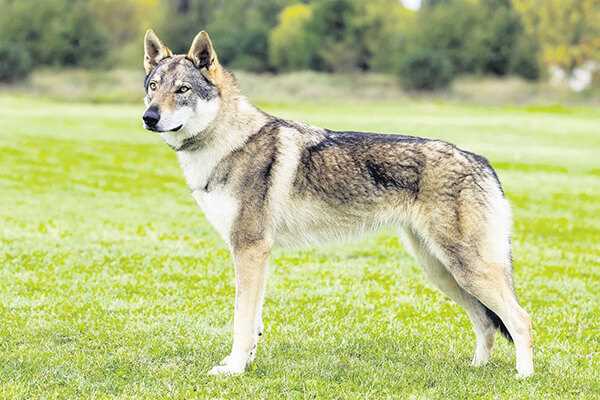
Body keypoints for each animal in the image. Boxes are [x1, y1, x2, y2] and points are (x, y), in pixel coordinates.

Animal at [141, 29, 536, 376]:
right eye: (153, 88)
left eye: (183, 90)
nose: (149, 117)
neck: (227, 142)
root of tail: (482, 162)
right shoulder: (254, 254)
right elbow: (253, 322)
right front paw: (243, 363)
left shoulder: (249, 249)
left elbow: (241, 320)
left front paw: (235, 370)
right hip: (443, 272)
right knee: (486, 323)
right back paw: (476, 370)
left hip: (465, 269)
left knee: (520, 318)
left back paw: (524, 376)